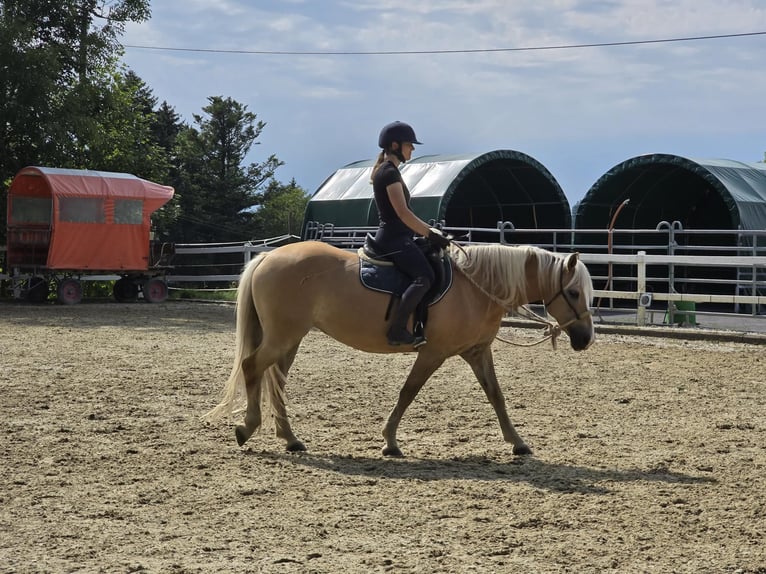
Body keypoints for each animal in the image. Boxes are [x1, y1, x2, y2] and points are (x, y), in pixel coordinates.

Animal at [202, 241, 592, 456]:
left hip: (290, 339)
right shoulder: (433, 352)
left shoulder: (477, 351)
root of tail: (266, 258)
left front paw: (518, 442)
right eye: (573, 292)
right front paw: (390, 441)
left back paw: (290, 438)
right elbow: (408, 392)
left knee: (275, 382)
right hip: (283, 336)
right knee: (252, 367)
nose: (585, 338)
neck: (477, 287)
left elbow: (496, 396)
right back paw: (247, 428)